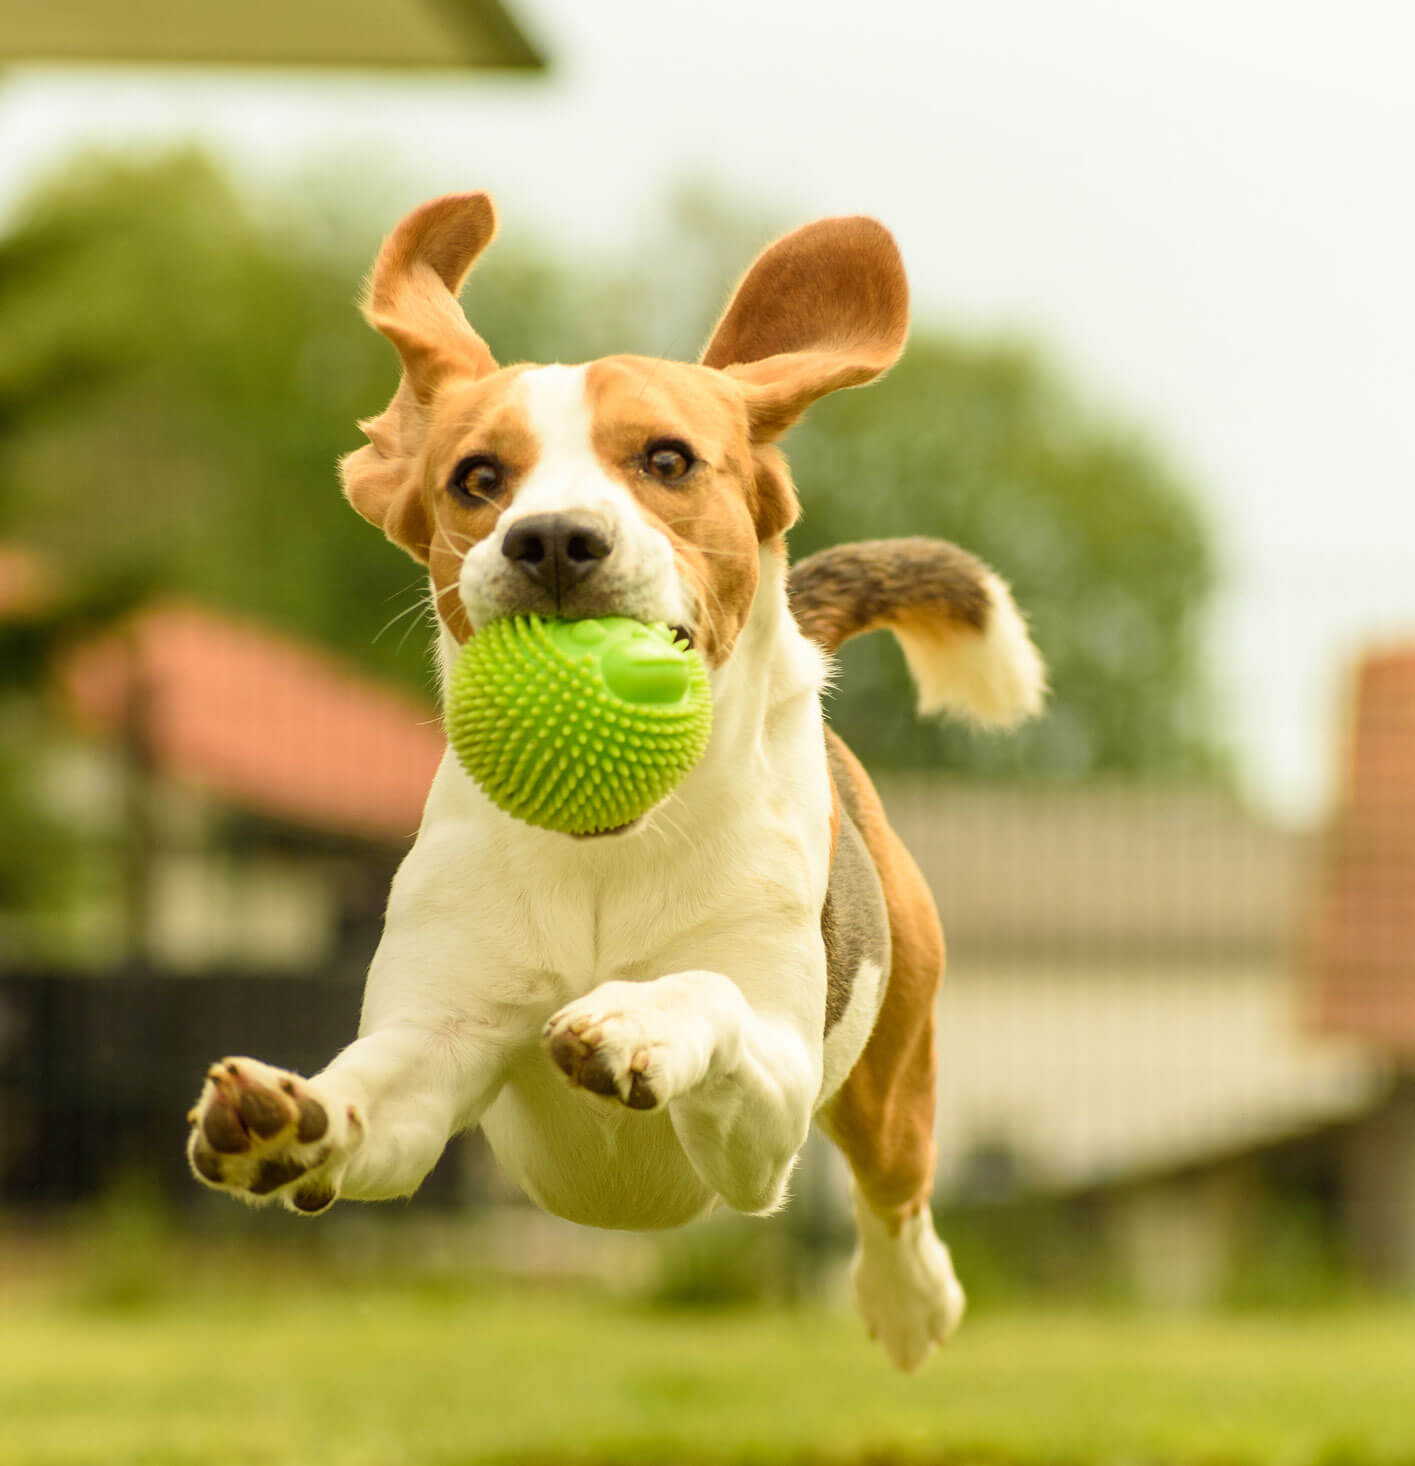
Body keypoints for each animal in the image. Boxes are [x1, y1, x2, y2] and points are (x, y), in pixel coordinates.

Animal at [187, 194, 1044, 1372]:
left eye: (668, 459)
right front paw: (291, 1116)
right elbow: (370, 1094)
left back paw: (908, 1296)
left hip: (892, 1055)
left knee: (895, 1187)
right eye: (478, 478)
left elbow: (709, 991)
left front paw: (639, 1020)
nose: (553, 539)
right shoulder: (436, 1055)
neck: (605, 841)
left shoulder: (768, 1109)